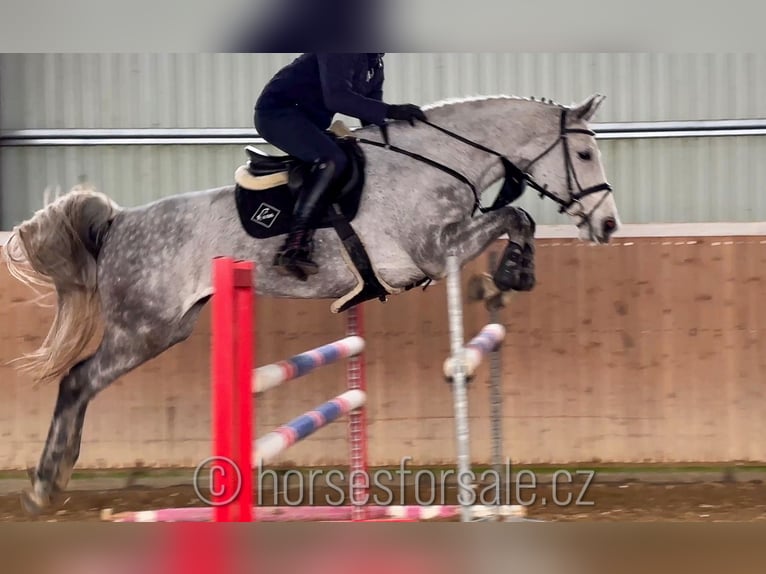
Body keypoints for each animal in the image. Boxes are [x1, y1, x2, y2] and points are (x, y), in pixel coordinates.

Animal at [3, 92, 620, 516]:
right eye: (584, 153)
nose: (609, 227)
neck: (436, 162)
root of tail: (119, 222)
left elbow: (519, 218)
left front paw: (515, 273)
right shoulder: (433, 251)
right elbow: (515, 214)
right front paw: (515, 270)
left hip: (167, 328)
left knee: (83, 382)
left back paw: (52, 481)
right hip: (143, 330)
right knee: (78, 380)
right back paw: (44, 484)